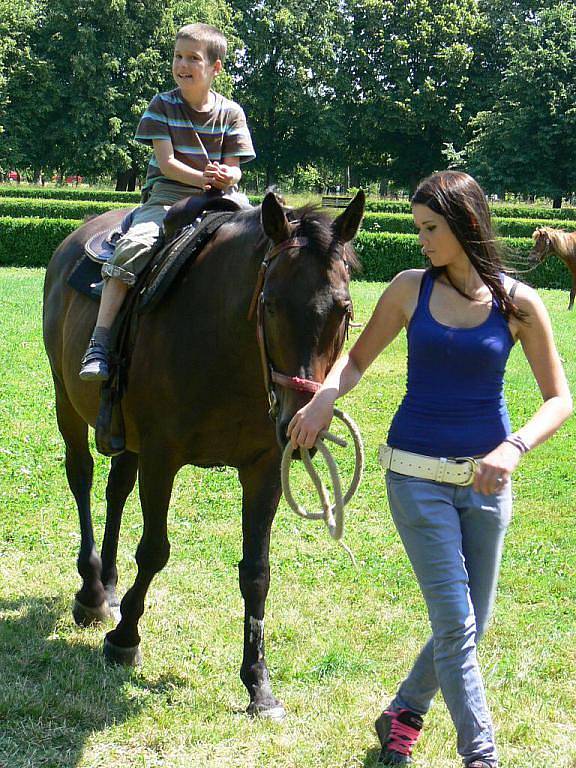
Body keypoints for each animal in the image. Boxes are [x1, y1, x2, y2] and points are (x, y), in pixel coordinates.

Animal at [41, 189, 364, 716]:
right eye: (270, 304)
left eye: (343, 308)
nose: (299, 420)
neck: (227, 350)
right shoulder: (161, 456)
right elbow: (154, 550)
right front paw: (125, 638)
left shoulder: (262, 469)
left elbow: (256, 572)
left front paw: (258, 682)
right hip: (66, 399)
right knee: (82, 477)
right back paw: (91, 589)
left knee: (115, 489)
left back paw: (108, 583)